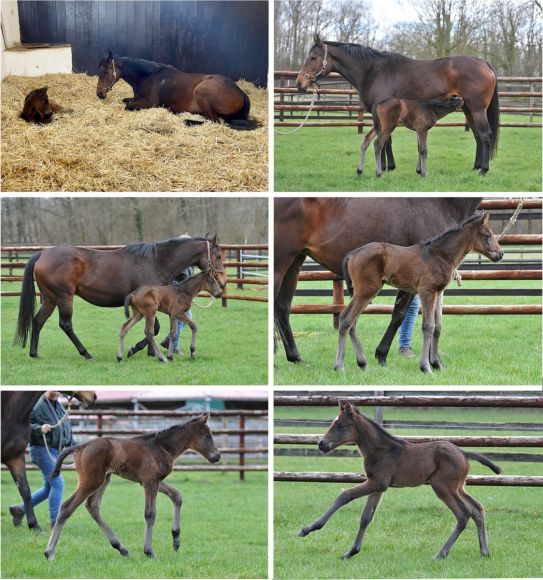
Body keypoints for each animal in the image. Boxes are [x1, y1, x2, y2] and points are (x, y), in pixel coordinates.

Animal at [43, 414, 220, 560]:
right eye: (207, 436)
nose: (217, 456)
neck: (161, 447)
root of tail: (82, 446)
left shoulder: (151, 480)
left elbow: (177, 496)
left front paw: (176, 540)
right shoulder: (150, 481)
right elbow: (150, 513)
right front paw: (149, 551)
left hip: (104, 479)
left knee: (92, 506)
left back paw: (121, 548)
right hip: (91, 481)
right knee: (67, 507)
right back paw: (49, 552)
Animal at [300, 402, 504, 560]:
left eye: (341, 425)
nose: (321, 444)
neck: (381, 450)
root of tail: (463, 453)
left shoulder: (377, 482)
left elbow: (344, 496)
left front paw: (308, 529)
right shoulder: (378, 486)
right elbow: (366, 517)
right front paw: (351, 552)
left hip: (443, 487)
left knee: (462, 515)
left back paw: (441, 554)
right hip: (459, 487)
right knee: (477, 509)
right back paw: (484, 551)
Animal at [336, 211, 506, 374]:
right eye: (487, 235)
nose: (500, 254)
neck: (441, 255)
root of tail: (353, 253)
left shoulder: (438, 293)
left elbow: (437, 327)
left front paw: (437, 364)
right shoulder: (426, 291)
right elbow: (428, 326)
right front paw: (426, 367)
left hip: (363, 292)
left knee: (353, 322)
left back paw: (363, 364)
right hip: (367, 290)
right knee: (346, 318)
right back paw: (340, 366)